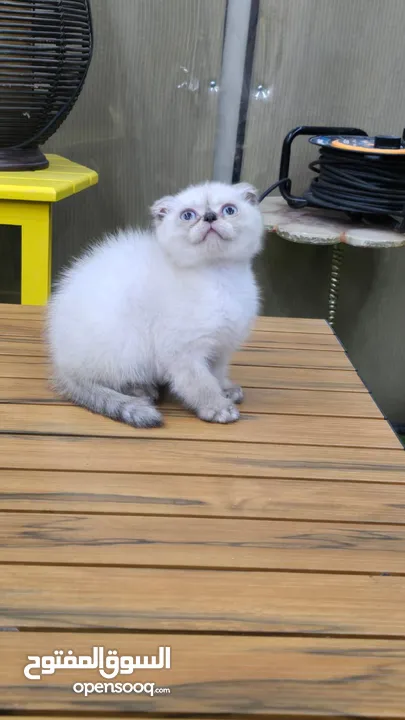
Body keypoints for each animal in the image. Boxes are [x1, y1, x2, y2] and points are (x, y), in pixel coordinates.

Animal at [45, 181, 264, 428]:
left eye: (229, 209)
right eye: (188, 215)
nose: (209, 217)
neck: (220, 278)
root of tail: (61, 363)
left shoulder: (221, 345)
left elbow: (215, 374)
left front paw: (224, 390)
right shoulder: (181, 350)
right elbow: (200, 383)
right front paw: (217, 407)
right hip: (128, 345)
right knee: (100, 381)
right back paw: (142, 390)